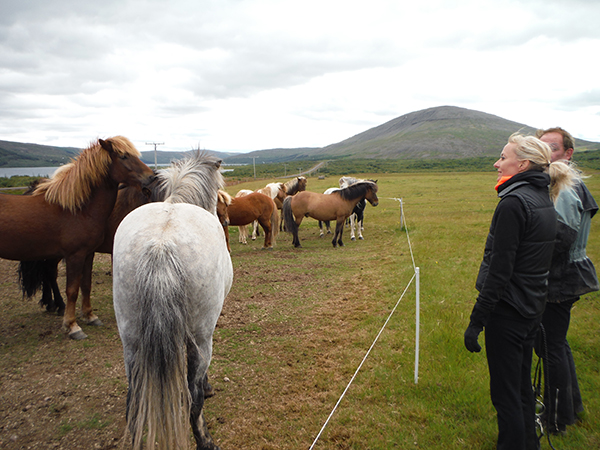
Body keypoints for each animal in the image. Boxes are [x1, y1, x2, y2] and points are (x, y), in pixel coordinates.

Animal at [0, 135, 155, 340]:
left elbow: (86, 285)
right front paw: (72, 326)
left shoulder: (88, 253)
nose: (151, 176)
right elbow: (72, 290)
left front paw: (90, 316)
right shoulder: (75, 255)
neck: (78, 210)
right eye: (123, 156)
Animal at [112, 152, 232, 450]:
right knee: (194, 398)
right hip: (201, 338)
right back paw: (205, 441)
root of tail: (161, 246)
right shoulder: (201, 337)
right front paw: (209, 387)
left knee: (133, 404)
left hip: (131, 339)